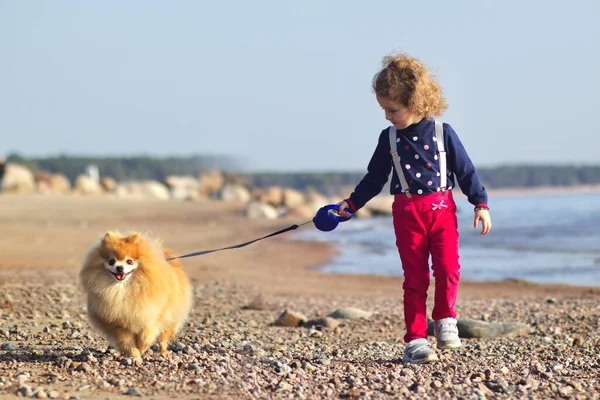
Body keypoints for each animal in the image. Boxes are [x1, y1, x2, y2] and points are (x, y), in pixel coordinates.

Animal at [79, 231, 192, 362]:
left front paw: (142, 347)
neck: (122, 290)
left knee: (163, 338)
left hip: (170, 318)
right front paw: (135, 355)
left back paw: (164, 352)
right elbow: (126, 342)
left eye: (129, 261)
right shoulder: (118, 323)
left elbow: (146, 334)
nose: (119, 267)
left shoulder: (152, 315)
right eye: (111, 261)